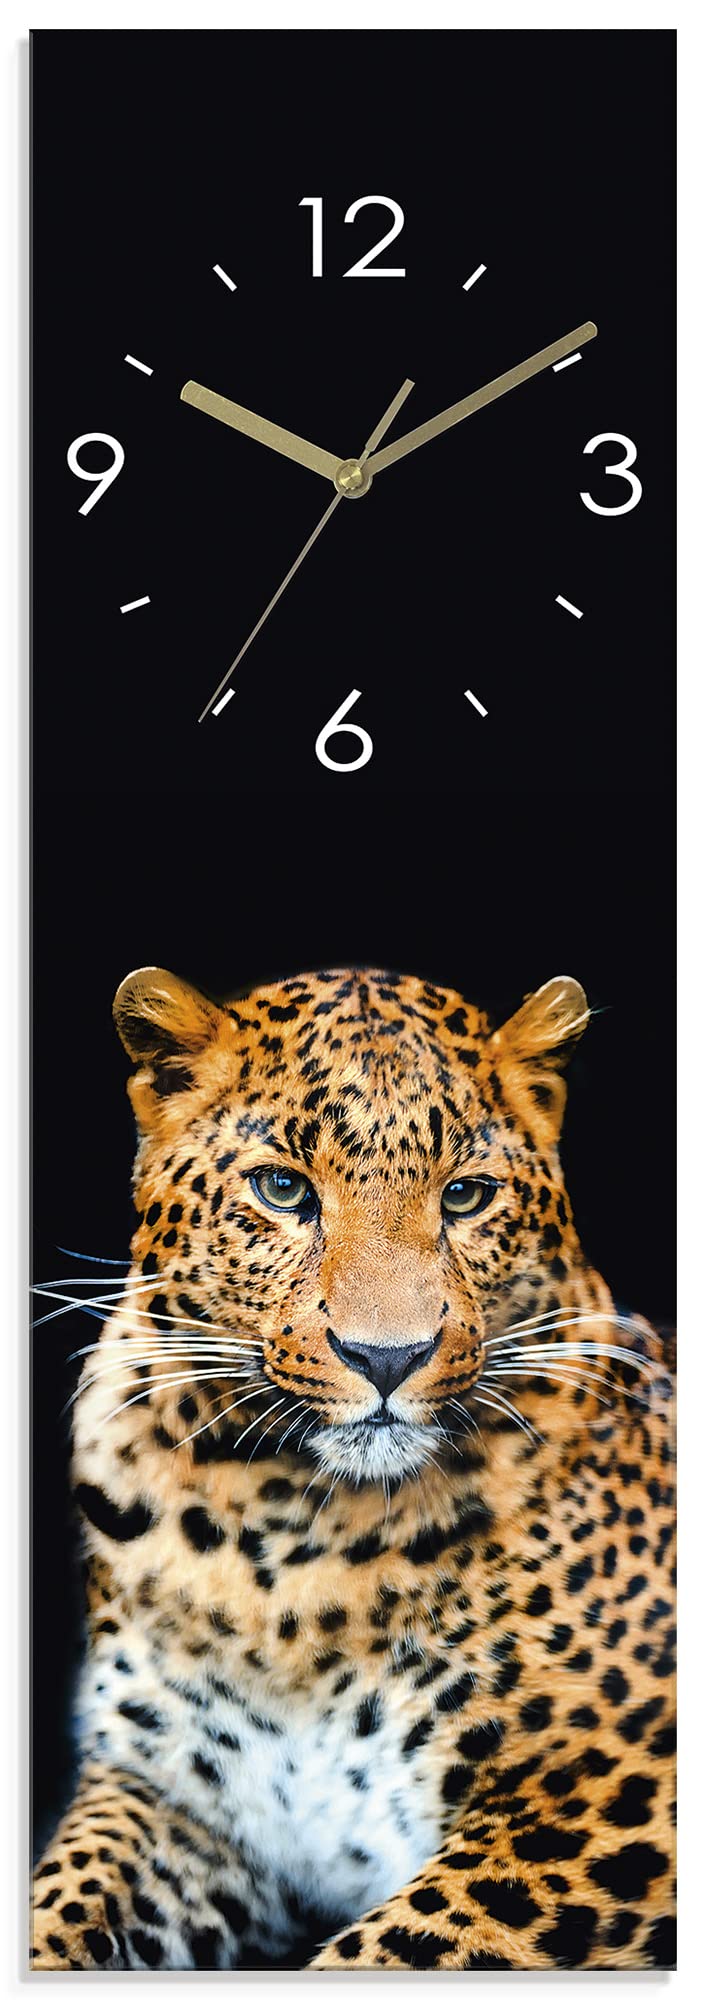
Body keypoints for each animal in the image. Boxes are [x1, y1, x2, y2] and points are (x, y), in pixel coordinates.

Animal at [31, 964, 675, 1971]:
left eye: (466, 1196)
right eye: (283, 1189)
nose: (387, 1357)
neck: (289, 1541)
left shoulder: (605, 1796)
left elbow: (395, 1947)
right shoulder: (171, 1796)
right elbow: (60, 1905)